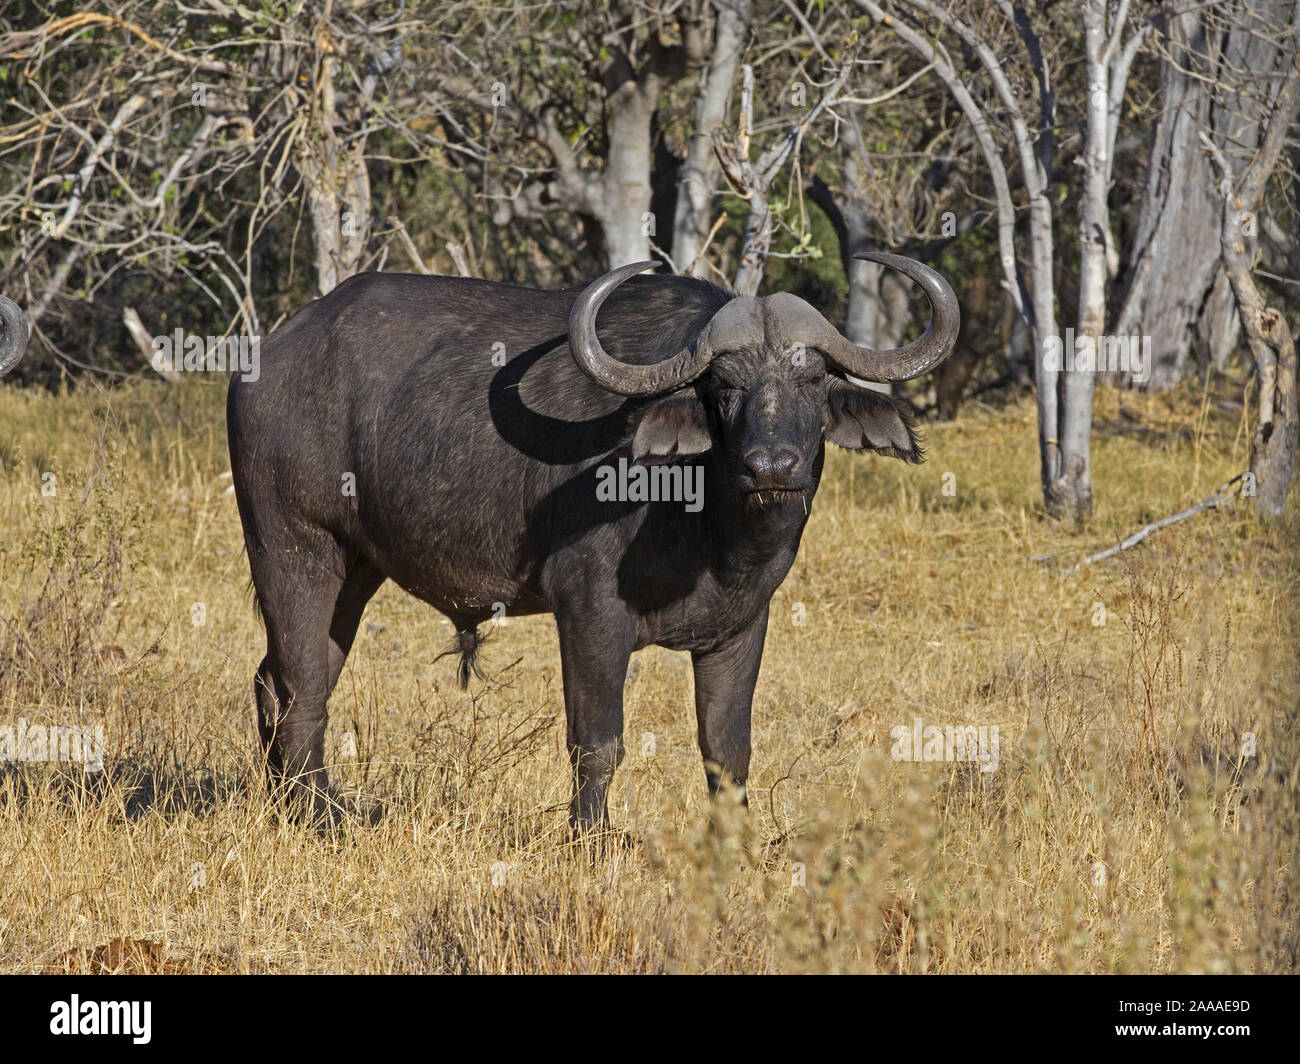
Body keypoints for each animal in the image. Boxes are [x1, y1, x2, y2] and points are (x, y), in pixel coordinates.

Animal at [223, 254, 961, 827]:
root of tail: (268, 357)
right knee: (302, 690)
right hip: (293, 547)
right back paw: (321, 819)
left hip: (356, 567)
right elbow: (598, 742)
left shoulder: (742, 624)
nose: (771, 466)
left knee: (279, 681)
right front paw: (591, 841)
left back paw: (294, 806)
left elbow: (727, 751)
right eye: (725, 386)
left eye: (810, 380)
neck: (709, 528)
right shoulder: (589, 613)